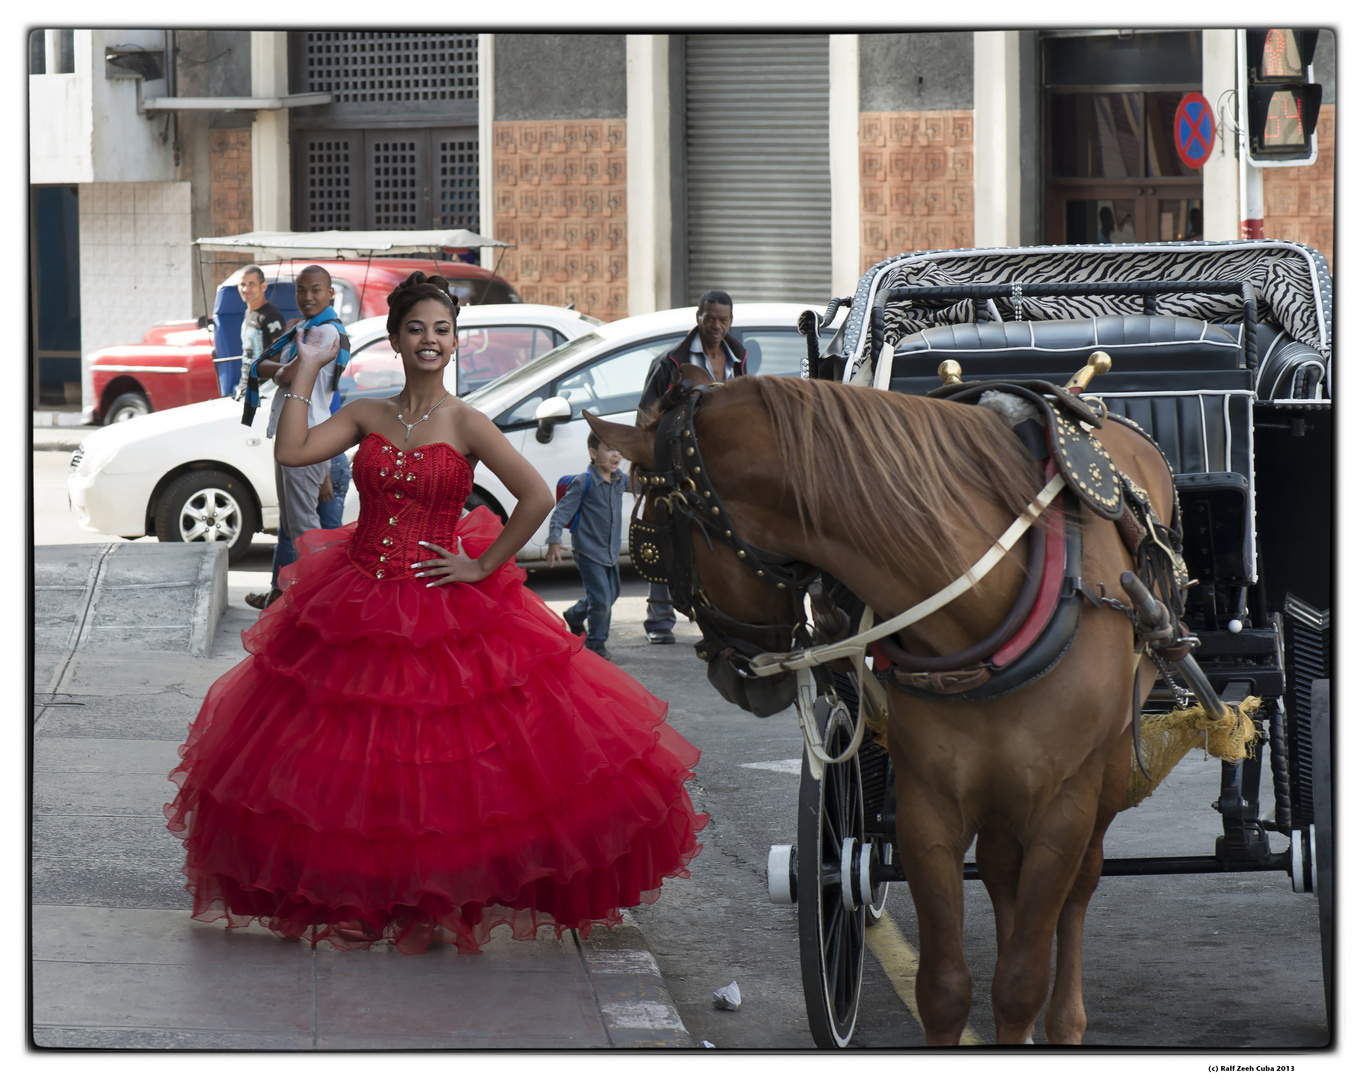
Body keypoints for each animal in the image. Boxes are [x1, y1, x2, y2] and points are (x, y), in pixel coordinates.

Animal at [591, 373, 1178, 1047]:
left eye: (652, 536)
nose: (725, 674)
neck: (990, 600)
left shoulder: (1061, 805)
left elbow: (1021, 980)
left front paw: (1037, 1013)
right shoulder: (929, 803)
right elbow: (945, 990)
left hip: (1104, 767)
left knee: (1080, 886)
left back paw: (1063, 1023)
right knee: (1000, 869)